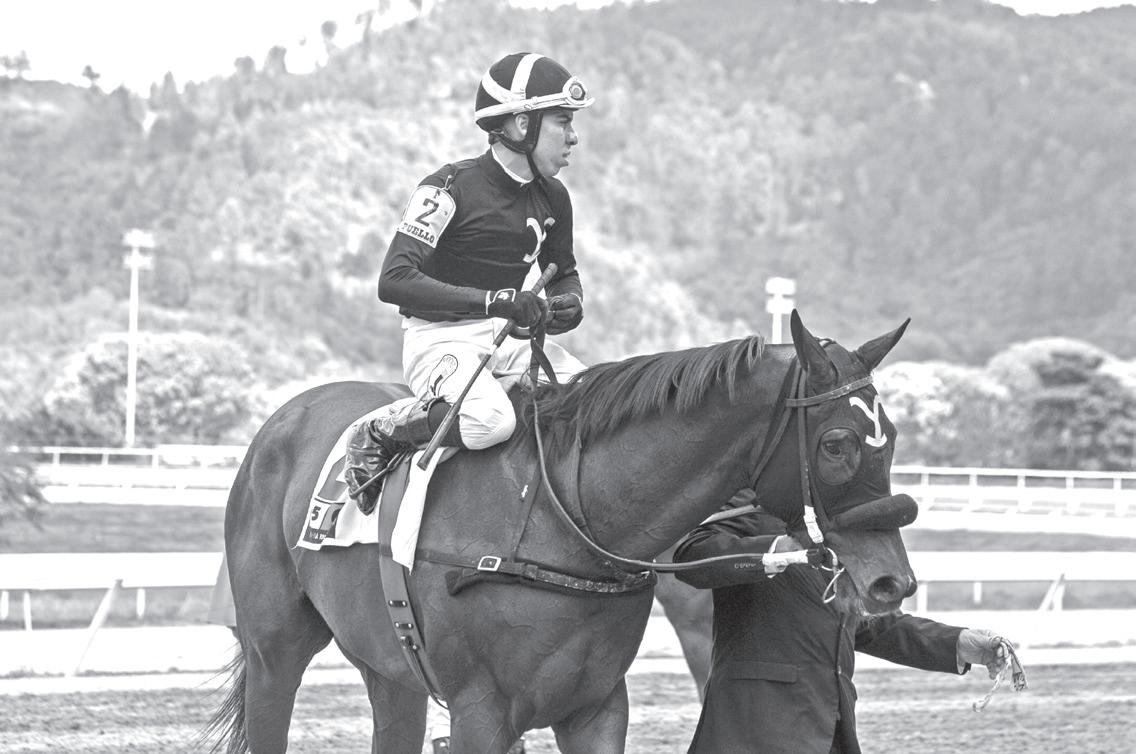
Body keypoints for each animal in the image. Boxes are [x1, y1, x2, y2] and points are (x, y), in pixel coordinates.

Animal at [206, 310, 917, 753]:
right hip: (274, 651)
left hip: (390, 672)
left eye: (892, 433)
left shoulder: (596, 709)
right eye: (836, 443)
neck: (559, 523)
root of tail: (283, 420)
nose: (892, 582)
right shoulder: (480, 714)